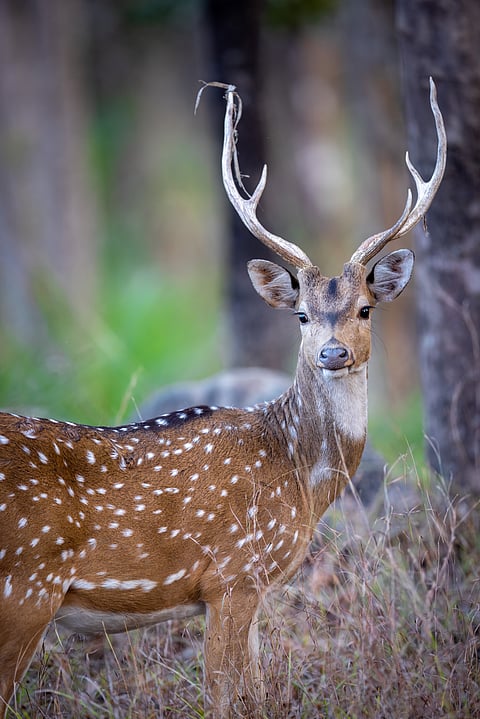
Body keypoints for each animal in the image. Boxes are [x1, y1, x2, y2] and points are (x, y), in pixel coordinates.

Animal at [0, 79, 446, 718]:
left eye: (365, 309)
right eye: (301, 314)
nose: (332, 353)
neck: (298, 475)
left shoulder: (253, 588)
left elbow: (257, 694)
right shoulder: (232, 575)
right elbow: (221, 696)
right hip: (26, 589)